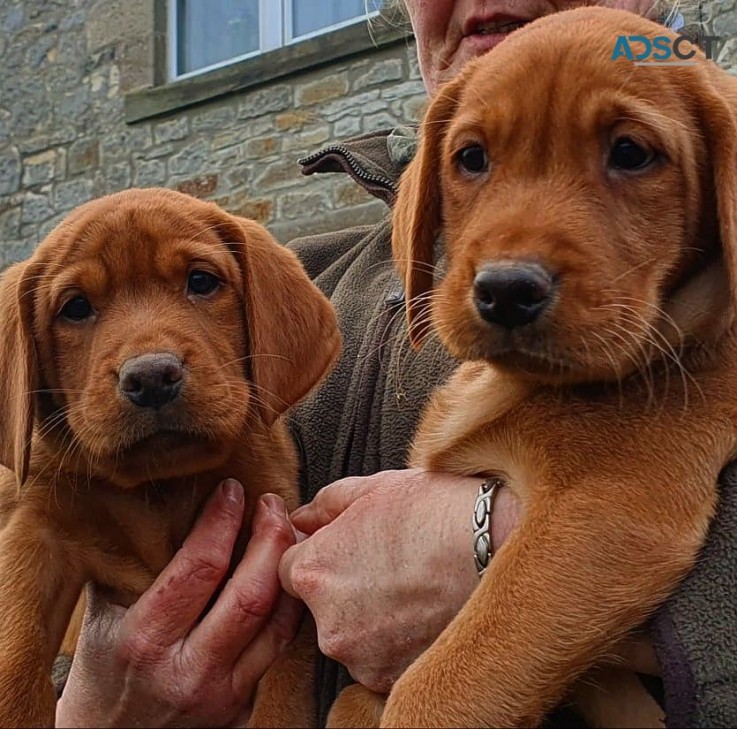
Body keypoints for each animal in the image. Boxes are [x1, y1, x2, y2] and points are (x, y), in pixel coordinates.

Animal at [0, 189, 340, 728]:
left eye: (200, 282)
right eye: (76, 308)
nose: (151, 377)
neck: (158, 489)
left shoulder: (278, 548)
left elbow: (282, 701)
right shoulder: (36, 534)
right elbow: (14, 657)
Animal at [330, 7, 736, 728]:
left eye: (631, 153)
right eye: (470, 158)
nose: (506, 291)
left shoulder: (608, 510)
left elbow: (431, 690)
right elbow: (359, 693)